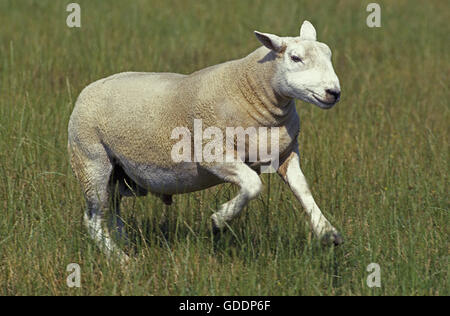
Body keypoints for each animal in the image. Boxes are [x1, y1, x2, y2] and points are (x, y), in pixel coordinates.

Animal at [67, 20, 342, 262]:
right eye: (295, 58)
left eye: (329, 55)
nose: (334, 93)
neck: (251, 92)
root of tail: (86, 91)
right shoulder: (213, 154)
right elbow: (253, 184)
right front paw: (219, 220)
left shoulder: (286, 154)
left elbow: (303, 189)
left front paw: (328, 232)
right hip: (91, 161)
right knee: (93, 219)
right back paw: (122, 260)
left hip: (118, 174)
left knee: (113, 215)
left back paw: (126, 247)